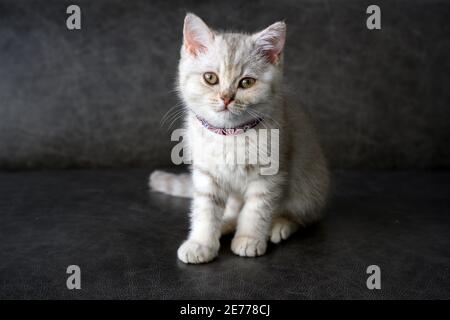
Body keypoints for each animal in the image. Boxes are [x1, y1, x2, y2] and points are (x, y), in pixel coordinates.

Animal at [149, 13, 328, 264]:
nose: (226, 98)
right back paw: (225, 224)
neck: (230, 135)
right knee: (233, 211)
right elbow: (205, 210)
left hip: (308, 188)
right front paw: (201, 243)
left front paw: (249, 239)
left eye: (246, 82)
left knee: (303, 216)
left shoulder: (269, 175)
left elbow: (255, 210)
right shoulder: (206, 174)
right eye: (210, 78)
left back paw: (279, 226)